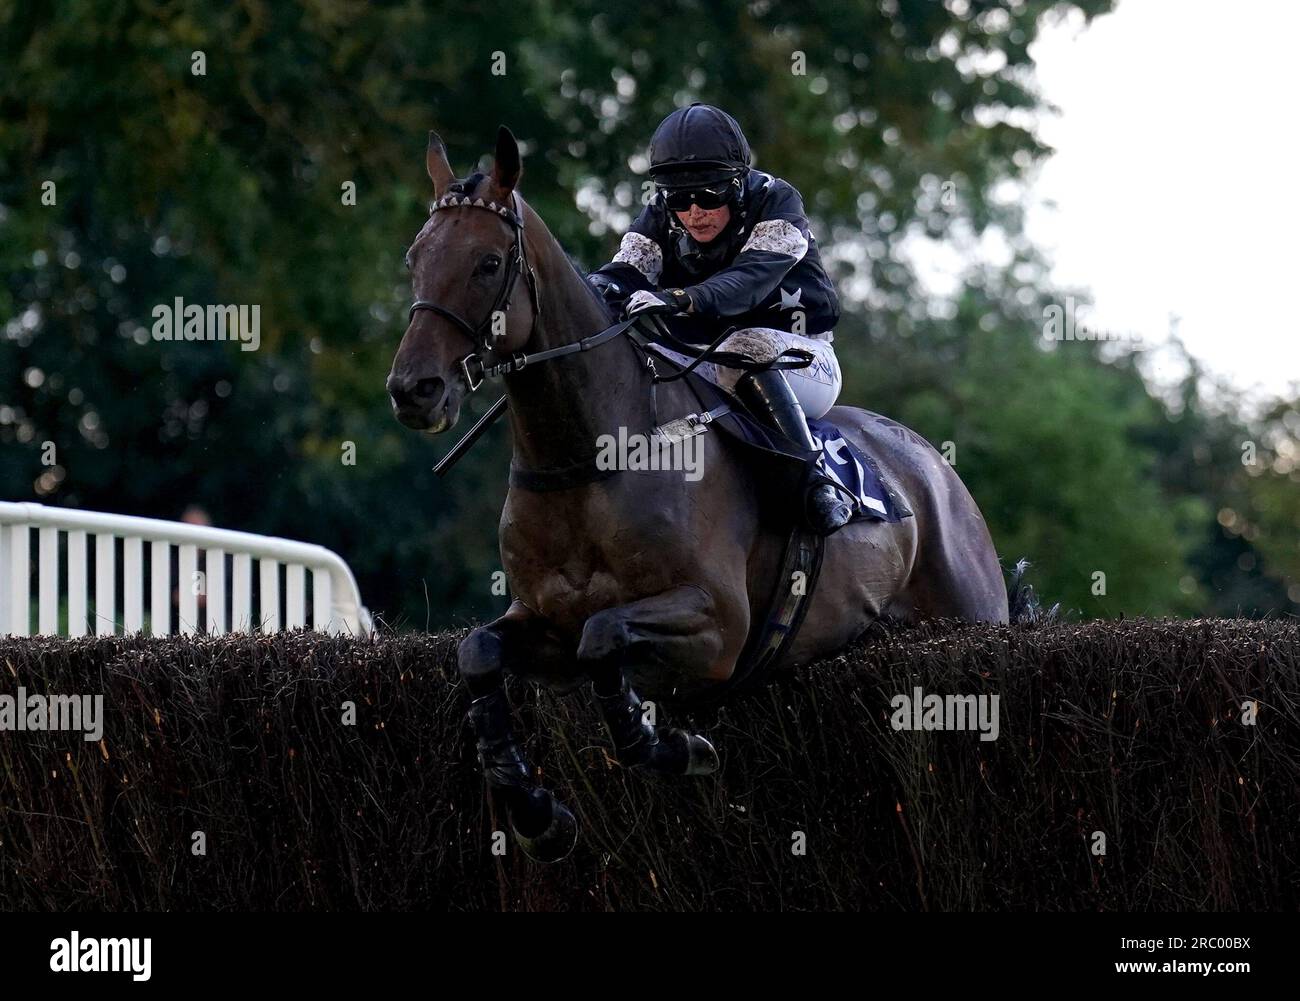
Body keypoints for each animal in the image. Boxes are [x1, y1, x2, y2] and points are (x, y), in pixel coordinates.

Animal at [390, 124, 1008, 857]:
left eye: (487, 263)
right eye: (415, 258)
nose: (414, 389)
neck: (588, 460)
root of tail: (933, 467)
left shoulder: (719, 624)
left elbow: (604, 635)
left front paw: (673, 747)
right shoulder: (542, 622)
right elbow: (480, 651)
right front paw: (537, 810)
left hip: (972, 612)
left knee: (755, 346)